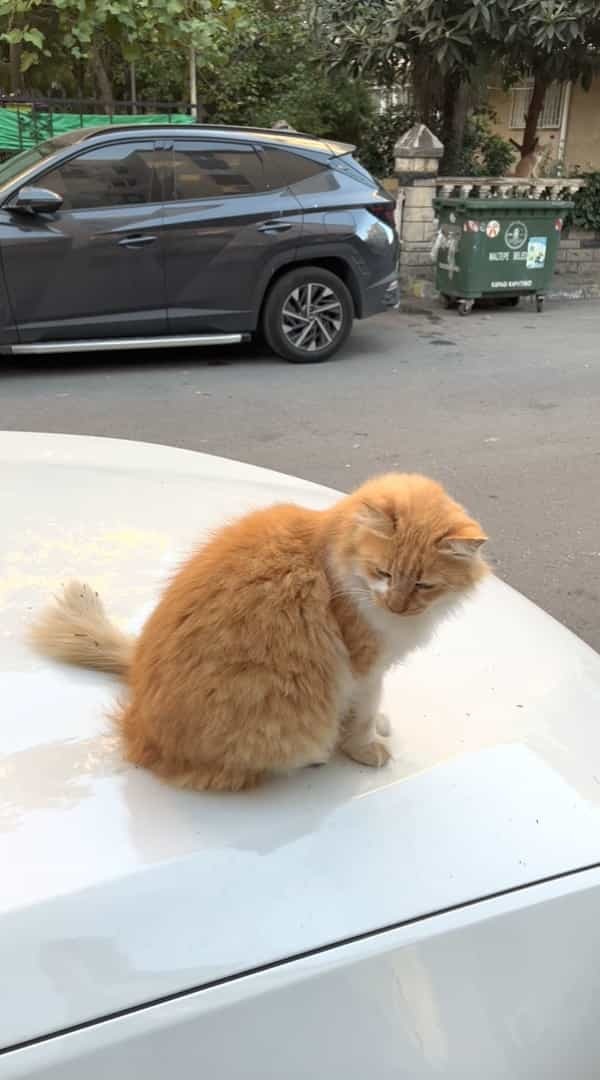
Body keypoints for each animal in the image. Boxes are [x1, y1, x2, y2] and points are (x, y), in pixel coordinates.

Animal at [29, 473, 487, 794]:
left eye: (424, 585)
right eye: (384, 573)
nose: (396, 605)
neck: (333, 555)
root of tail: (134, 724)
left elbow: (368, 709)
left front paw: (377, 725)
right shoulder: (363, 665)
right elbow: (364, 711)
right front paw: (365, 744)